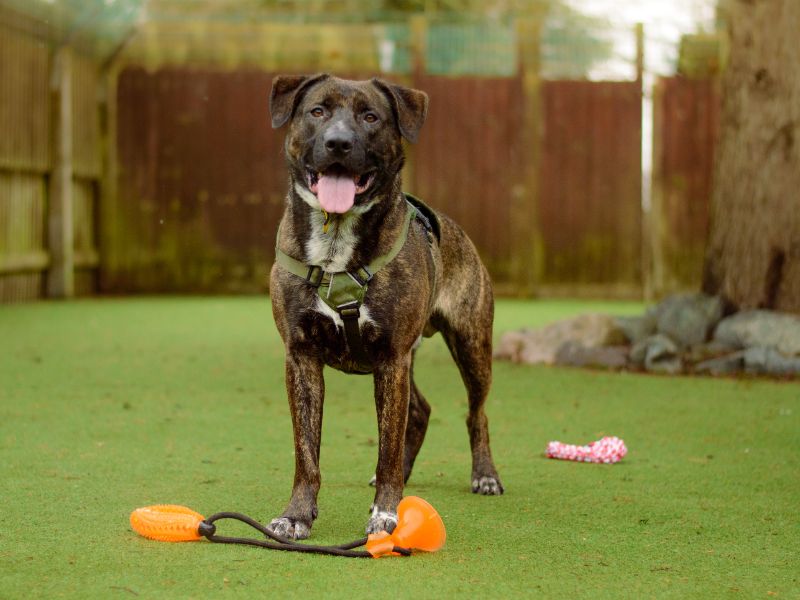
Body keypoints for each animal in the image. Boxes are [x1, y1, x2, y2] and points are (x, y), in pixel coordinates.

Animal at [268, 74, 506, 540]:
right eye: (317, 111)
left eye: (370, 116)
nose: (339, 143)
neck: (336, 244)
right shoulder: (302, 358)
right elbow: (306, 453)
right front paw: (296, 515)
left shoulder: (392, 358)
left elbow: (388, 446)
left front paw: (386, 514)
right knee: (420, 411)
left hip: (470, 347)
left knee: (477, 414)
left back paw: (484, 475)